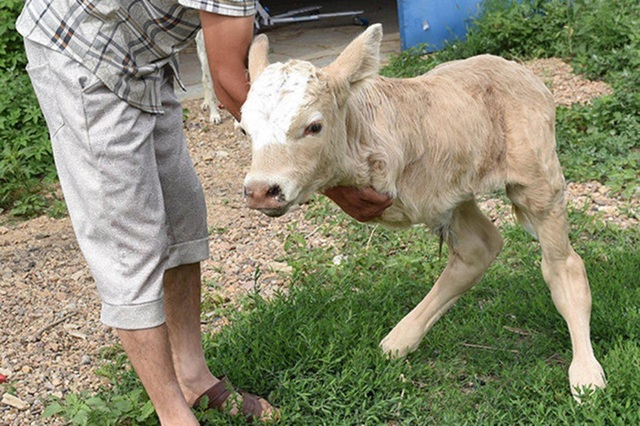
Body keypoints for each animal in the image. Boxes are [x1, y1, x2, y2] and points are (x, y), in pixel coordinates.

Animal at [239, 25, 604, 402]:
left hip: (537, 176)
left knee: (562, 264)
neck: (361, 129)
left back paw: (585, 372)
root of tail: (517, 70)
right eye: (244, 130)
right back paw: (400, 340)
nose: (261, 190)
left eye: (313, 127)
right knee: (479, 247)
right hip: (450, 187)